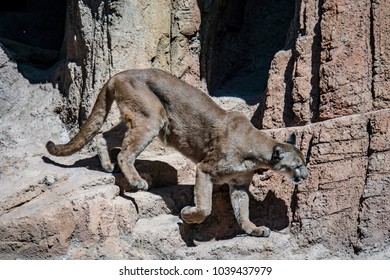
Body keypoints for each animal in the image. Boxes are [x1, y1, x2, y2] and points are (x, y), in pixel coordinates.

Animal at [46, 68, 308, 236]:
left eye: (304, 163)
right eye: (297, 165)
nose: (305, 176)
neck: (256, 150)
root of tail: (117, 74)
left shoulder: (239, 184)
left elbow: (242, 210)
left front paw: (253, 229)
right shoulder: (206, 169)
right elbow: (205, 207)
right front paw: (188, 215)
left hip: (142, 118)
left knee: (103, 135)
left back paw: (107, 165)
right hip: (152, 119)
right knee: (124, 153)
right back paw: (136, 180)